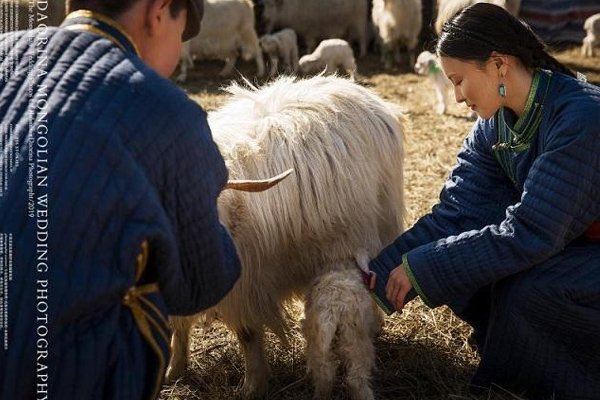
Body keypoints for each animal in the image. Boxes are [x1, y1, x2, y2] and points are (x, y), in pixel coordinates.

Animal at [302, 262, 382, 400]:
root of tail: (330, 310)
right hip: (356, 342)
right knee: (356, 380)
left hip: (318, 346)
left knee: (325, 374)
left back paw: (321, 394)